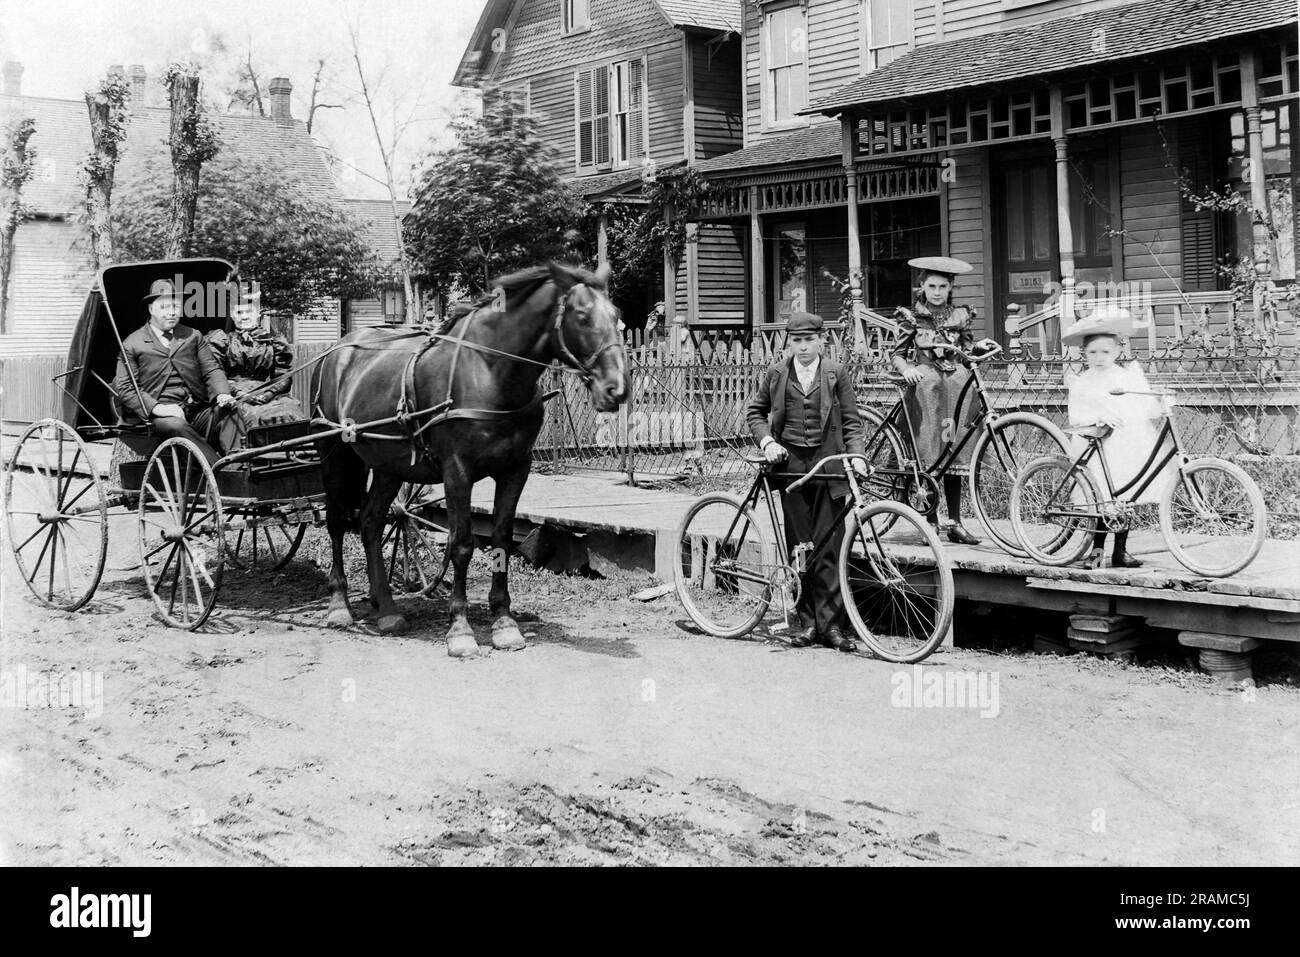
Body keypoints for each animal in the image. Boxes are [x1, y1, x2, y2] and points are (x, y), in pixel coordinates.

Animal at [306, 257, 626, 655]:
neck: (490, 371)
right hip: (334, 454)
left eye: (616, 315)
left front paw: (504, 621)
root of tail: (338, 350)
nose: (617, 388)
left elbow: (502, 540)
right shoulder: (457, 470)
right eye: (582, 316)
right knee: (336, 521)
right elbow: (461, 544)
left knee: (370, 522)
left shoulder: (516, 469)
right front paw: (459, 627)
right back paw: (339, 605)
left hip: (389, 466)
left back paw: (387, 608)